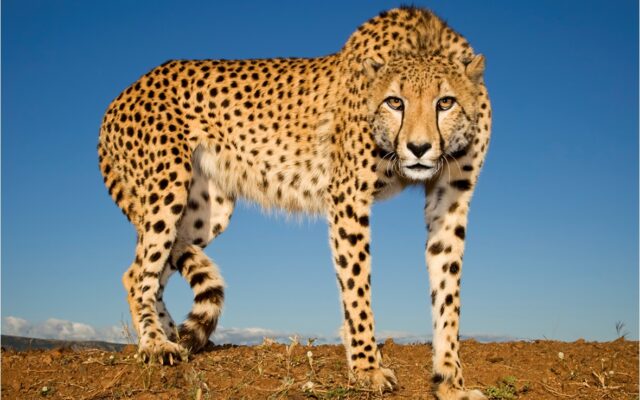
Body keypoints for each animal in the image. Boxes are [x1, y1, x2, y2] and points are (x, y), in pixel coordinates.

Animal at [98, 6, 492, 399]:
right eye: (395, 102)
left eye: (446, 102)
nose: (419, 148)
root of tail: (125, 92)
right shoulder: (348, 197)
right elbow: (357, 287)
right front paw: (367, 368)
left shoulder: (451, 199)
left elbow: (448, 290)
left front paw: (450, 381)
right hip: (168, 188)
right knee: (141, 273)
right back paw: (154, 344)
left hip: (207, 210)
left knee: (142, 269)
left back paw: (172, 337)